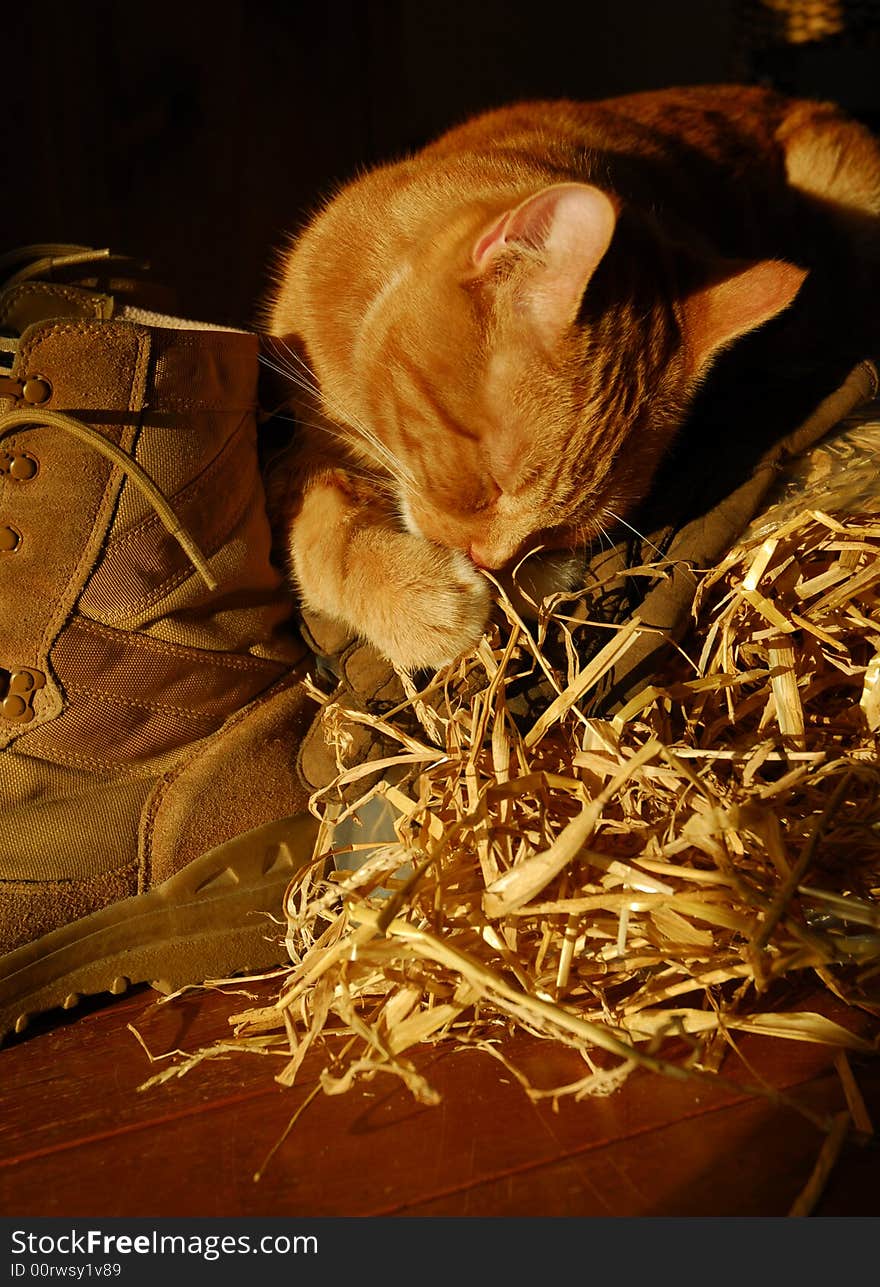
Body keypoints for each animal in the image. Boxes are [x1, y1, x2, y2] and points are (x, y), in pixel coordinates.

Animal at [266, 84, 880, 669]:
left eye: (560, 529)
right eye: (489, 484)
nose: (484, 559)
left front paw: (524, 577)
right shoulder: (302, 448)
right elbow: (319, 538)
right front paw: (422, 602)